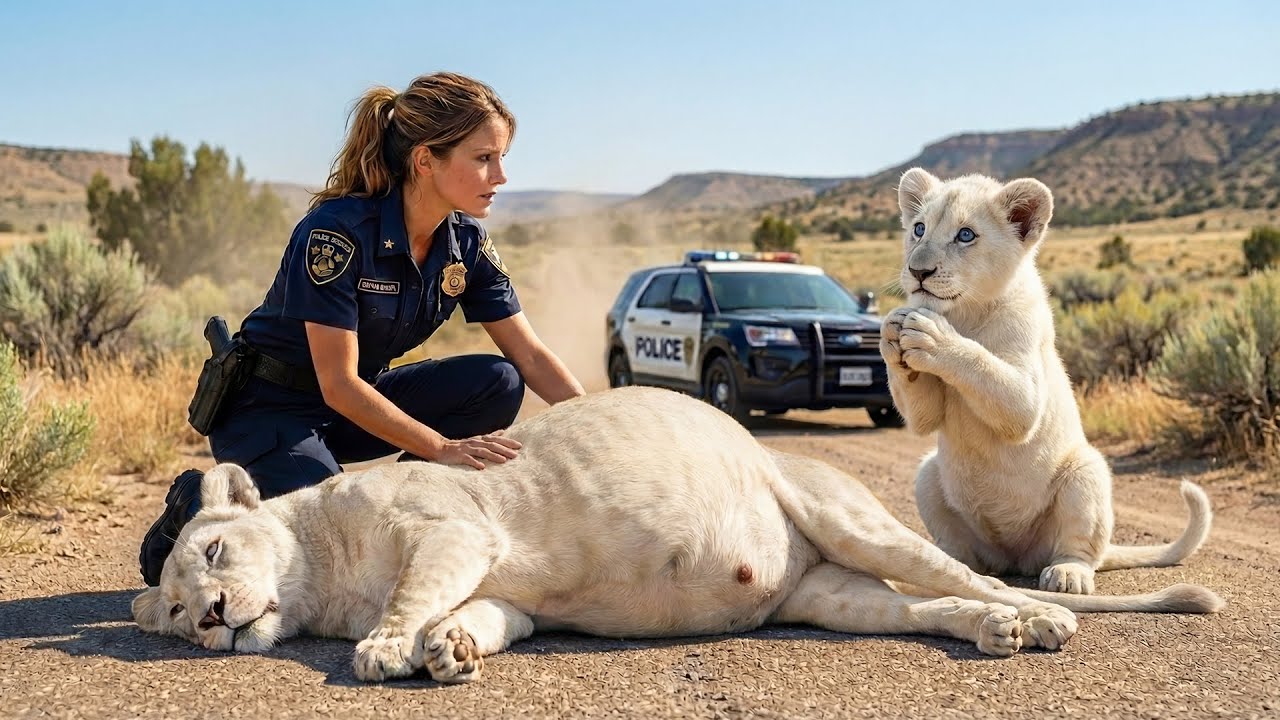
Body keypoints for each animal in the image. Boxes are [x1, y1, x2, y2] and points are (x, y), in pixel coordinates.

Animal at [133, 387, 1222, 683]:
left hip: (848, 518)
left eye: (214, 555)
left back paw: (1041, 624)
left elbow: (406, 597)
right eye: (176, 611)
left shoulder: (456, 532)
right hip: (830, 595)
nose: (216, 618)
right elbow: (476, 621)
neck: (320, 581)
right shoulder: (506, 596)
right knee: (927, 606)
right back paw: (991, 634)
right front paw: (449, 653)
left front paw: (387, 648)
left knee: (981, 576)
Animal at [881, 168, 1213, 595]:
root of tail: (1013, 556)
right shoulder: (928, 412)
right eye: (919, 229)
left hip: (1085, 473)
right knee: (965, 551)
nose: (918, 271)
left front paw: (933, 335)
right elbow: (923, 415)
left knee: (1081, 548)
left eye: (966, 235)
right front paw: (892, 330)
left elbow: (991, 375)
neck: (965, 312)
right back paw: (949, 562)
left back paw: (1068, 574)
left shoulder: (1026, 389)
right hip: (927, 474)